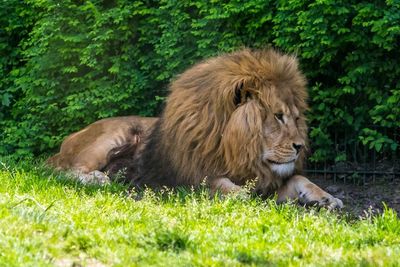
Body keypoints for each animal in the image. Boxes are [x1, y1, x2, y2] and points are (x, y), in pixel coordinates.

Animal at [48, 49, 344, 210]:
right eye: (278, 116)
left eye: (296, 118)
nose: (300, 147)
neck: (238, 151)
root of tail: (67, 140)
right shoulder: (191, 178)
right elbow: (221, 185)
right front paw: (245, 196)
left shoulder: (270, 180)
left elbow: (301, 179)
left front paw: (327, 198)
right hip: (111, 136)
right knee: (58, 170)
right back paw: (97, 179)